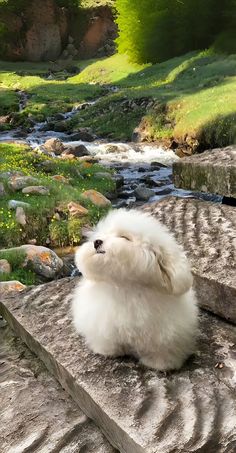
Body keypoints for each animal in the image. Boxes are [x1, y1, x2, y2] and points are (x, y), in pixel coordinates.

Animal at [71, 208, 197, 370]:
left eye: (124, 237)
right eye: (102, 235)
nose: (97, 242)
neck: (125, 286)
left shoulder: (164, 334)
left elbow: (161, 350)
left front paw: (161, 364)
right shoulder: (102, 323)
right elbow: (107, 340)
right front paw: (107, 351)